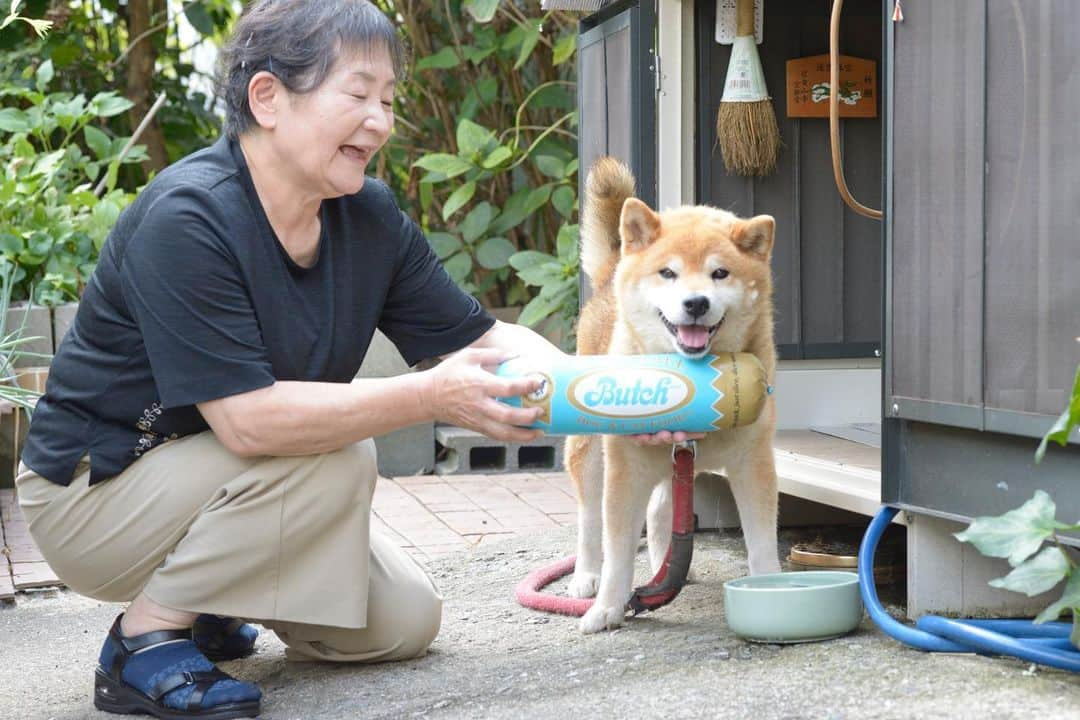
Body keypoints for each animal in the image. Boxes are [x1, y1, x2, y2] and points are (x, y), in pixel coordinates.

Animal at [570, 156, 781, 630]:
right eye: (668, 272)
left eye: (720, 273)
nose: (696, 303)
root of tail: (613, 270)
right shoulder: (625, 468)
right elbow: (617, 550)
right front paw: (608, 607)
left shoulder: (753, 463)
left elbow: (762, 543)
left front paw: (776, 592)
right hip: (590, 451)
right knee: (589, 519)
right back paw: (586, 577)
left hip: (677, 463)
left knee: (660, 510)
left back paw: (663, 568)